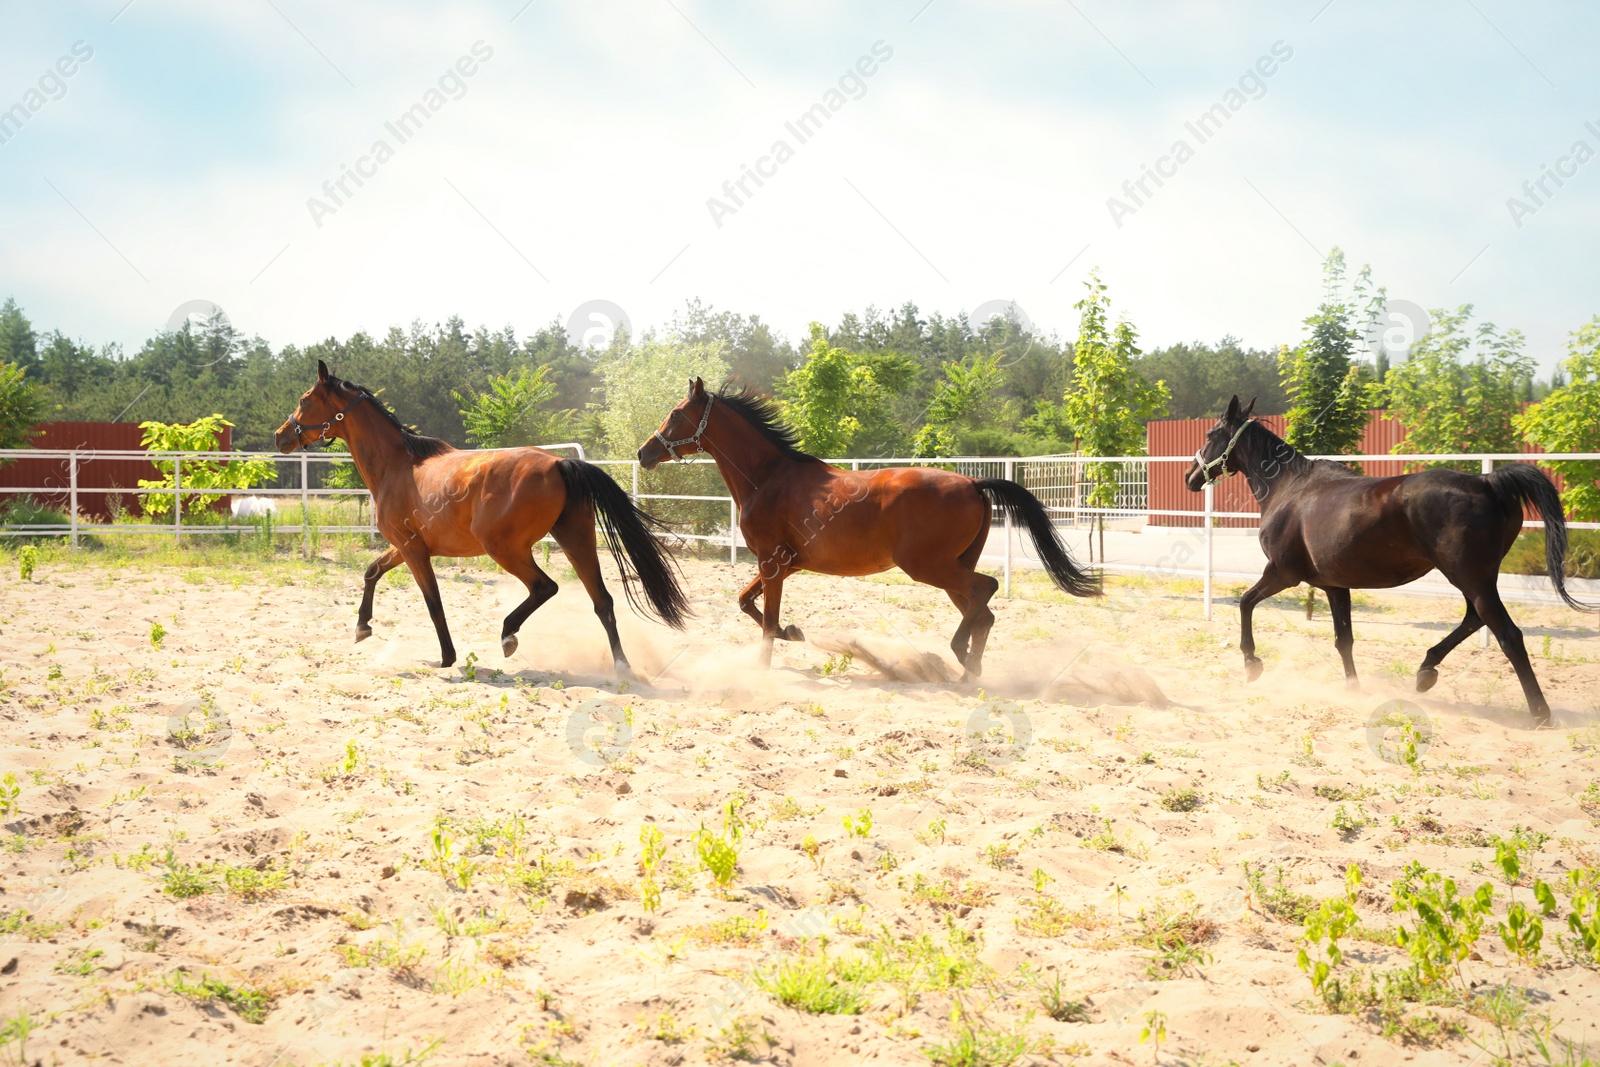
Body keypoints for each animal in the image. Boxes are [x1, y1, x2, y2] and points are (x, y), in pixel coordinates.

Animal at [276, 363, 688, 671]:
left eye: (304, 400)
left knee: (545, 587)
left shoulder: (413, 551)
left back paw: (508, 635)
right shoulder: (406, 547)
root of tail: (559, 462)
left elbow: (433, 602)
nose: (281, 436)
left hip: (505, 549)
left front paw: (445, 659)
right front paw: (362, 627)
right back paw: (622, 668)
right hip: (576, 540)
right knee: (602, 601)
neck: (399, 465)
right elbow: (372, 571)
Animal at [636, 379, 1100, 681]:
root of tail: (973, 482)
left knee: (985, 591)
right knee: (982, 610)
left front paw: (763, 668)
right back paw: (969, 670)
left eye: (676, 414)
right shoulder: (784, 564)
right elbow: (746, 603)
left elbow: (765, 621)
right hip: (952, 567)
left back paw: (959, 658)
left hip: (927, 566)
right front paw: (794, 632)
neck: (767, 477)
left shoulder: (772, 562)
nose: (644, 452)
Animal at [1190, 395, 1587, 726]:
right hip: (1475, 577)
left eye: (1211, 434)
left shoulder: (1282, 573)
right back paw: (1426, 671)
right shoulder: (1333, 585)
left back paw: (1540, 713)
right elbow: (1344, 639)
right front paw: (1352, 688)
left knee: (1507, 634)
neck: (1288, 489)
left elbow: (1245, 602)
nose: (1189, 477)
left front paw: (1251, 664)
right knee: (1475, 619)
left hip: (1469, 576)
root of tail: (1487, 482)